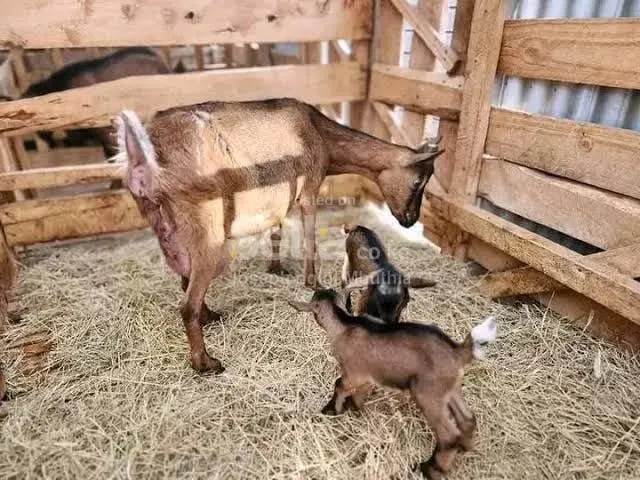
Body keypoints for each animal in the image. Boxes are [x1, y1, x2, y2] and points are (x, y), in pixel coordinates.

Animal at [114, 98, 444, 373]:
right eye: (419, 180)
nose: (409, 221)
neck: (319, 133)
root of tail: (145, 161)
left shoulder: (280, 196)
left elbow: (276, 232)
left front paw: (276, 268)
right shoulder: (309, 188)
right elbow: (310, 239)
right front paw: (312, 281)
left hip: (169, 230)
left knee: (186, 279)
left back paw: (210, 317)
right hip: (207, 229)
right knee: (188, 303)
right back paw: (205, 363)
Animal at [287, 289, 497, 479]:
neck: (344, 325)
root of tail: (459, 352)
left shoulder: (354, 373)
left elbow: (339, 385)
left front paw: (332, 410)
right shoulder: (368, 376)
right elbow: (360, 392)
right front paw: (356, 408)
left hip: (428, 395)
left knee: (448, 434)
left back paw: (430, 469)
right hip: (449, 390)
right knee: (467, 419)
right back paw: (465, 447)